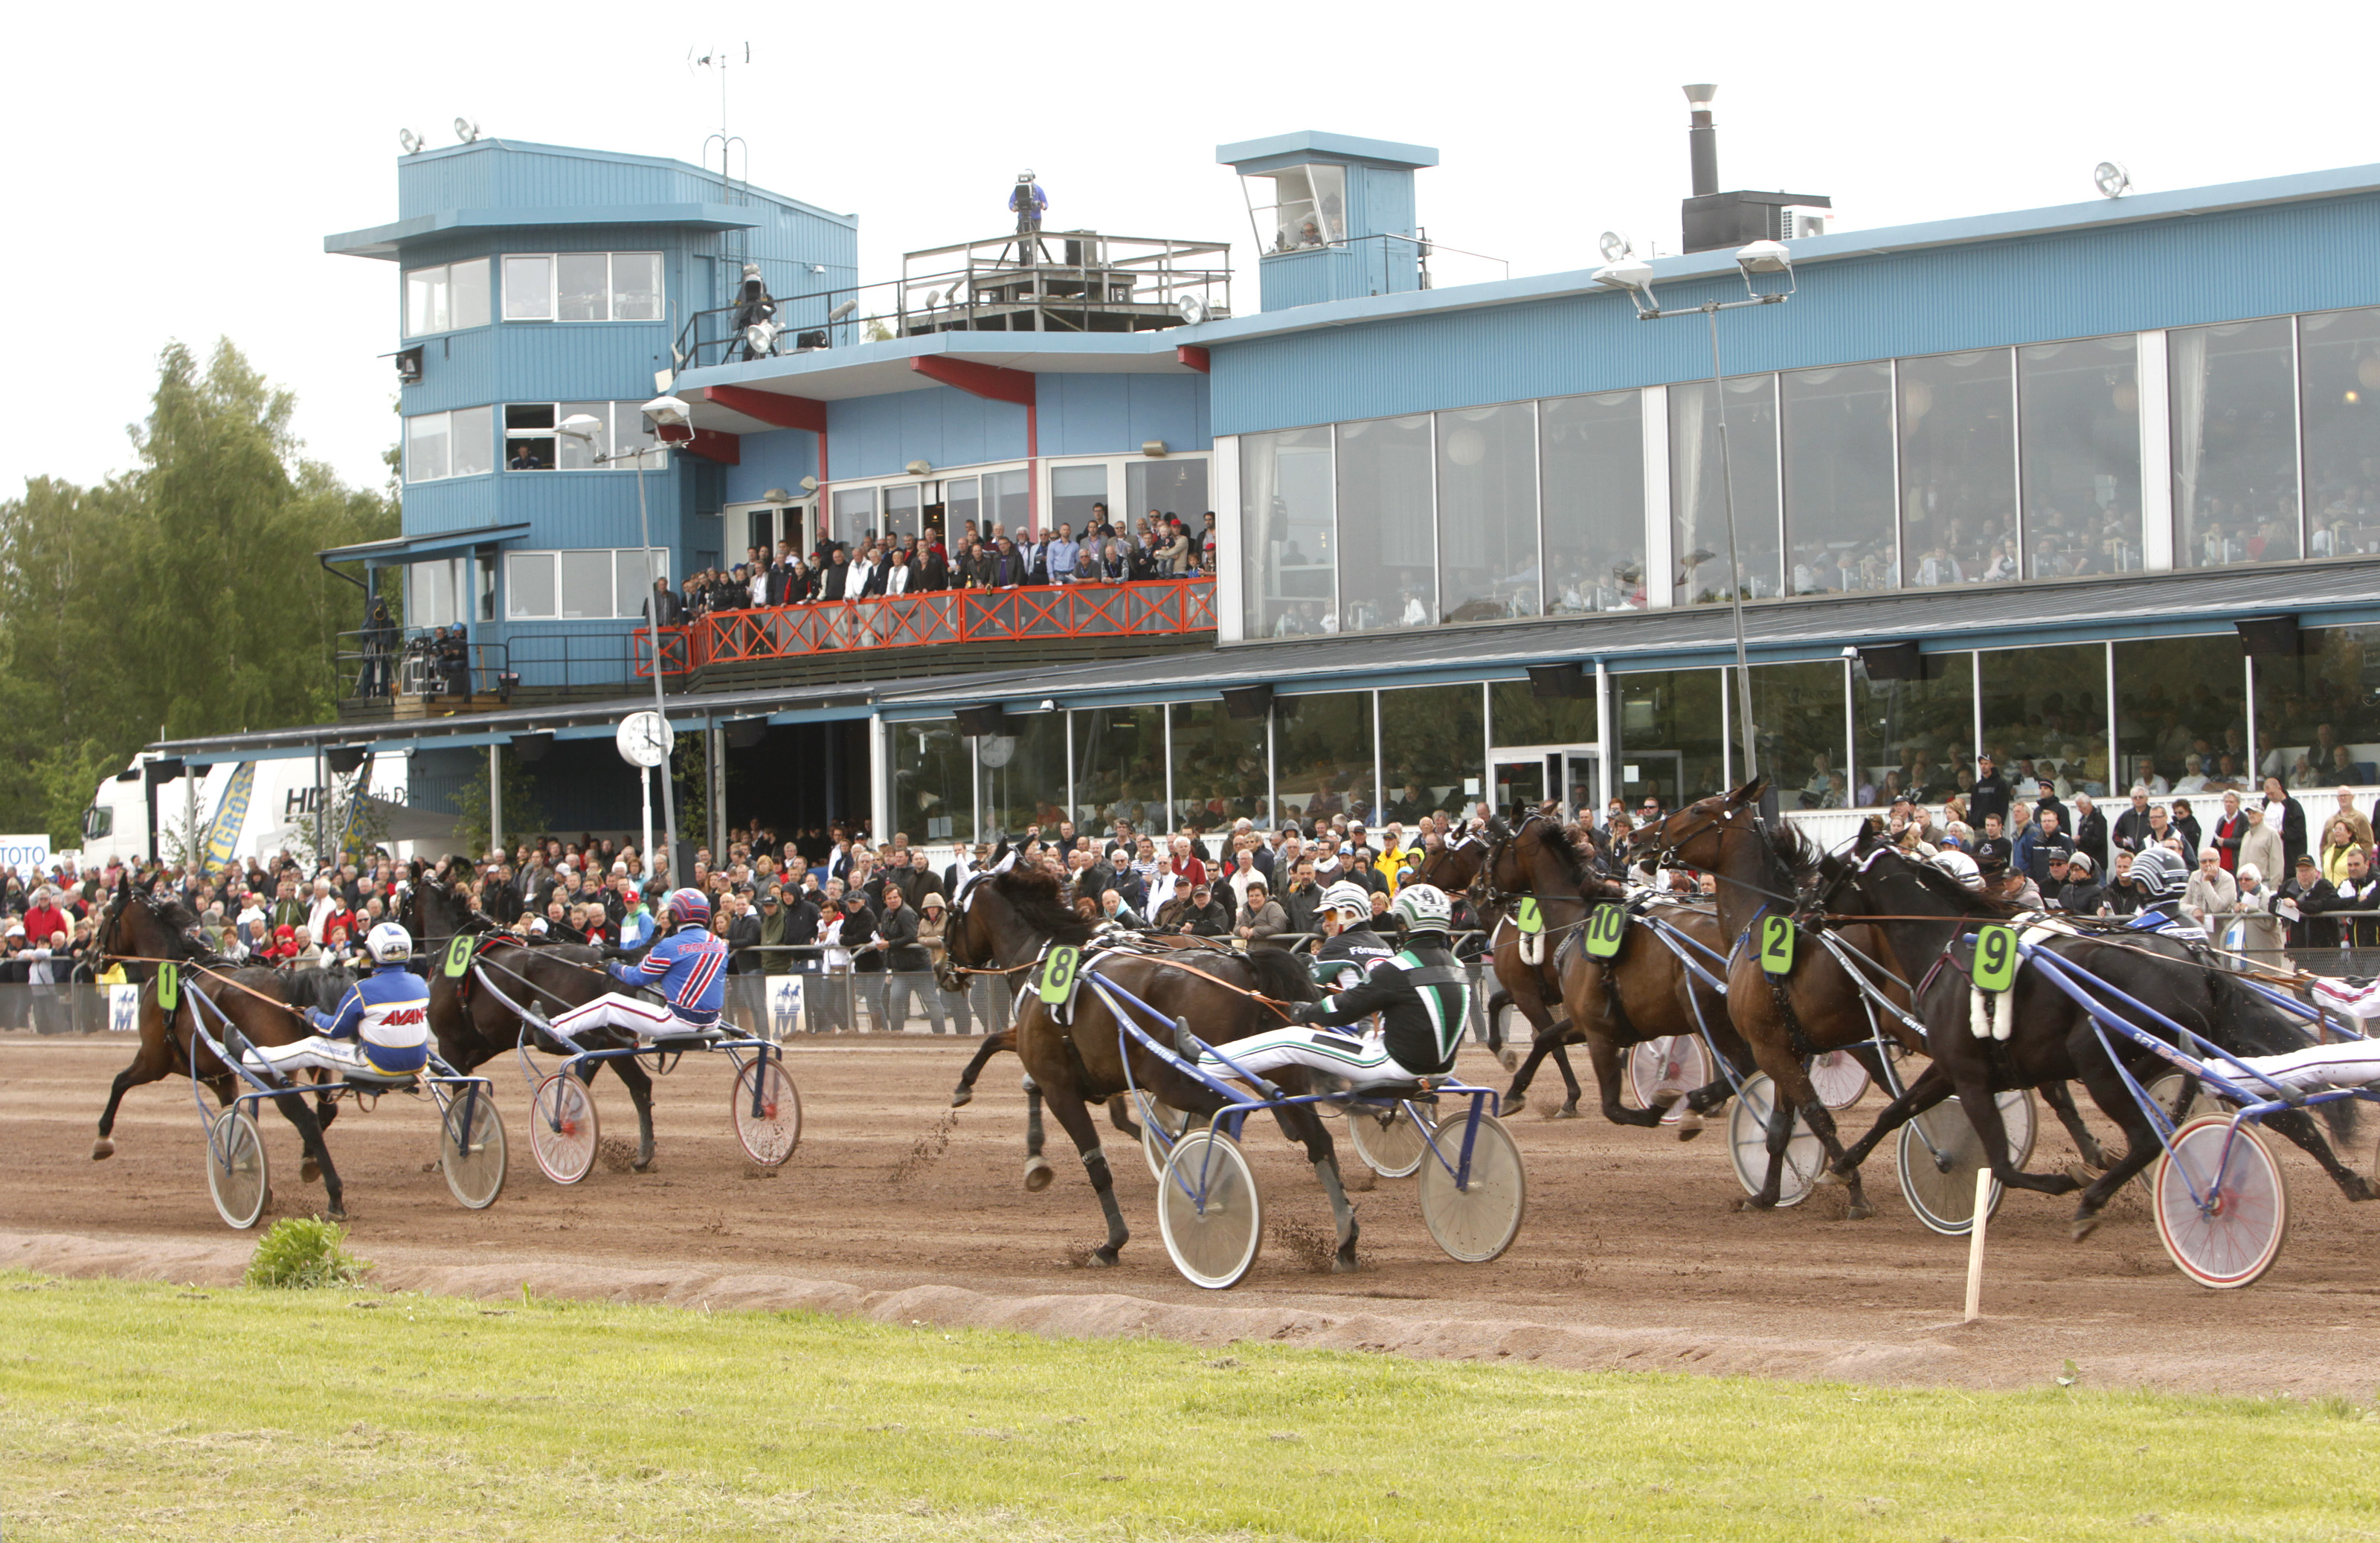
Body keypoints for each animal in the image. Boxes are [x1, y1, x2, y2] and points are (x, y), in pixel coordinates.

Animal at [89, 876, 350, 1209]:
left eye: (107, 912)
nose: (93, 956)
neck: (175, 970)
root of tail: (286, 981)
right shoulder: (221, 1076)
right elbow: (234, 1120)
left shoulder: (153, 1061)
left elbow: (119, 1083)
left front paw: (103, 1139)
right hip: (314, 1061)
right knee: (327, 1110)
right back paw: (309, 1161)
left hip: (271, 1072)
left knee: (306, 1119)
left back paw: (335, 1195)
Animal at [942, 862, 1361, 1276]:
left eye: (949, 913)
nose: (943, 971)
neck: (1046, 958)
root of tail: (1245, 965)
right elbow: (1011, 1061)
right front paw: (1033, 1157)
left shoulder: (1060, 1085)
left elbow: (1095, 1162)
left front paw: (1111, 1242)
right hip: (1279, 1065)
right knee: (1317, 1139)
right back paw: (1344, 1239)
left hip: (1175, 1079)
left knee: (1226, 1117)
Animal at [1809, 823, 2370, 1238]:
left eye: (1826, 872)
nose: (1802, 913)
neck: (1951, 946)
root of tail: (2197, 961)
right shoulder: (1951, 1068)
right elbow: (1894, 1110)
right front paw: (1844, 1165)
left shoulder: (1970, 1076)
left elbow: (2002, 1163)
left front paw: (2064, 1179)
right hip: (2204, 1053)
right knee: (2292, 1117)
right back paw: (2351, 1181)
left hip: (2099, 1059)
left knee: (2147, 1139)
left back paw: (2094, 1200)